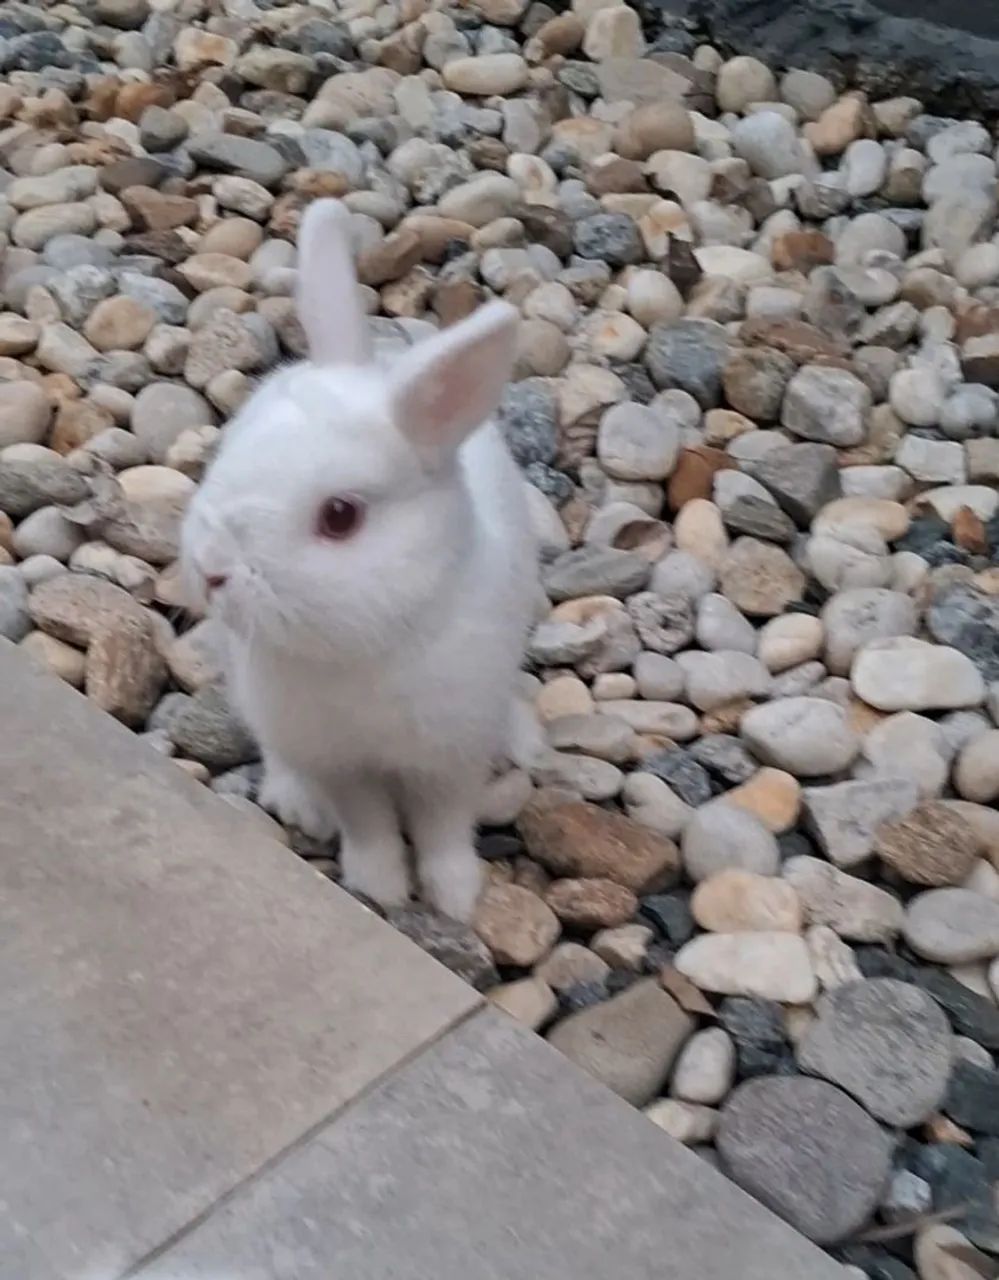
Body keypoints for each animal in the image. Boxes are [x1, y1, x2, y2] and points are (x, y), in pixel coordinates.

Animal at [181, 199, 539, 923]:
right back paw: (296, 804)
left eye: (339, 516)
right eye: (226, 455)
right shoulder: (341, 764)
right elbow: (367, 823)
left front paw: (455, 898)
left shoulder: (449, 757)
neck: (366, 647)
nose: (210, 570)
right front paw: (381, 887)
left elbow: (443, 827)